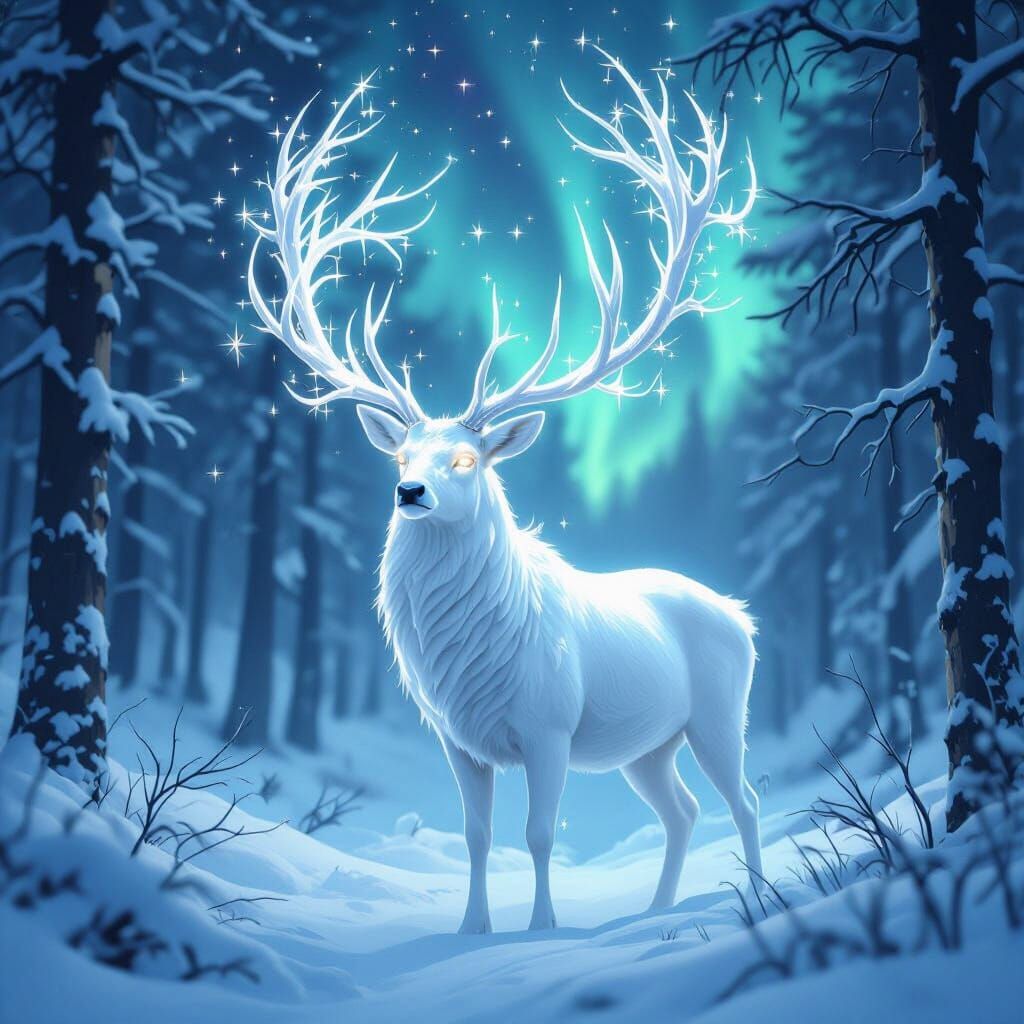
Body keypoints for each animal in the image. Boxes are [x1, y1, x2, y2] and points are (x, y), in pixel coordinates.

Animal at [245, 50, 761, 933]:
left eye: (467, 460)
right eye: (402, 451)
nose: (410, 491)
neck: (471, 658)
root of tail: (745, 618)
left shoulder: (549, 725)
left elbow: (541, 833)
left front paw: (542, 927)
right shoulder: (457, 739)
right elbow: (478, 836)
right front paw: (471, 929)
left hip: (720, 714)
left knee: (746, 802)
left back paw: (756, 896)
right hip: (649, 745)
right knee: (683, 811)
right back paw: (656, 910)